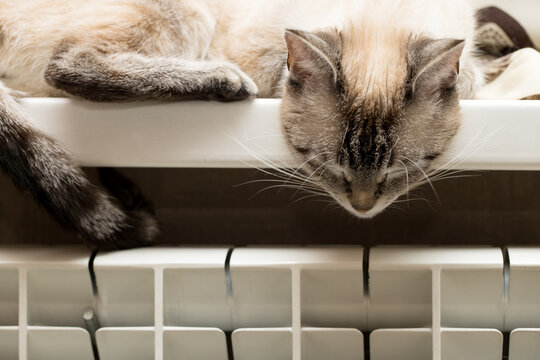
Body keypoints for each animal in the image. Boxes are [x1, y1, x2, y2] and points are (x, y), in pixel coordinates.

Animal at [0, 0, 480, 248]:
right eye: (328, 166)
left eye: (399, 171)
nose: (362, 210)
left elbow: (473, 75)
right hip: (182, 11)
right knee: (68, 64)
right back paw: (224, 79)